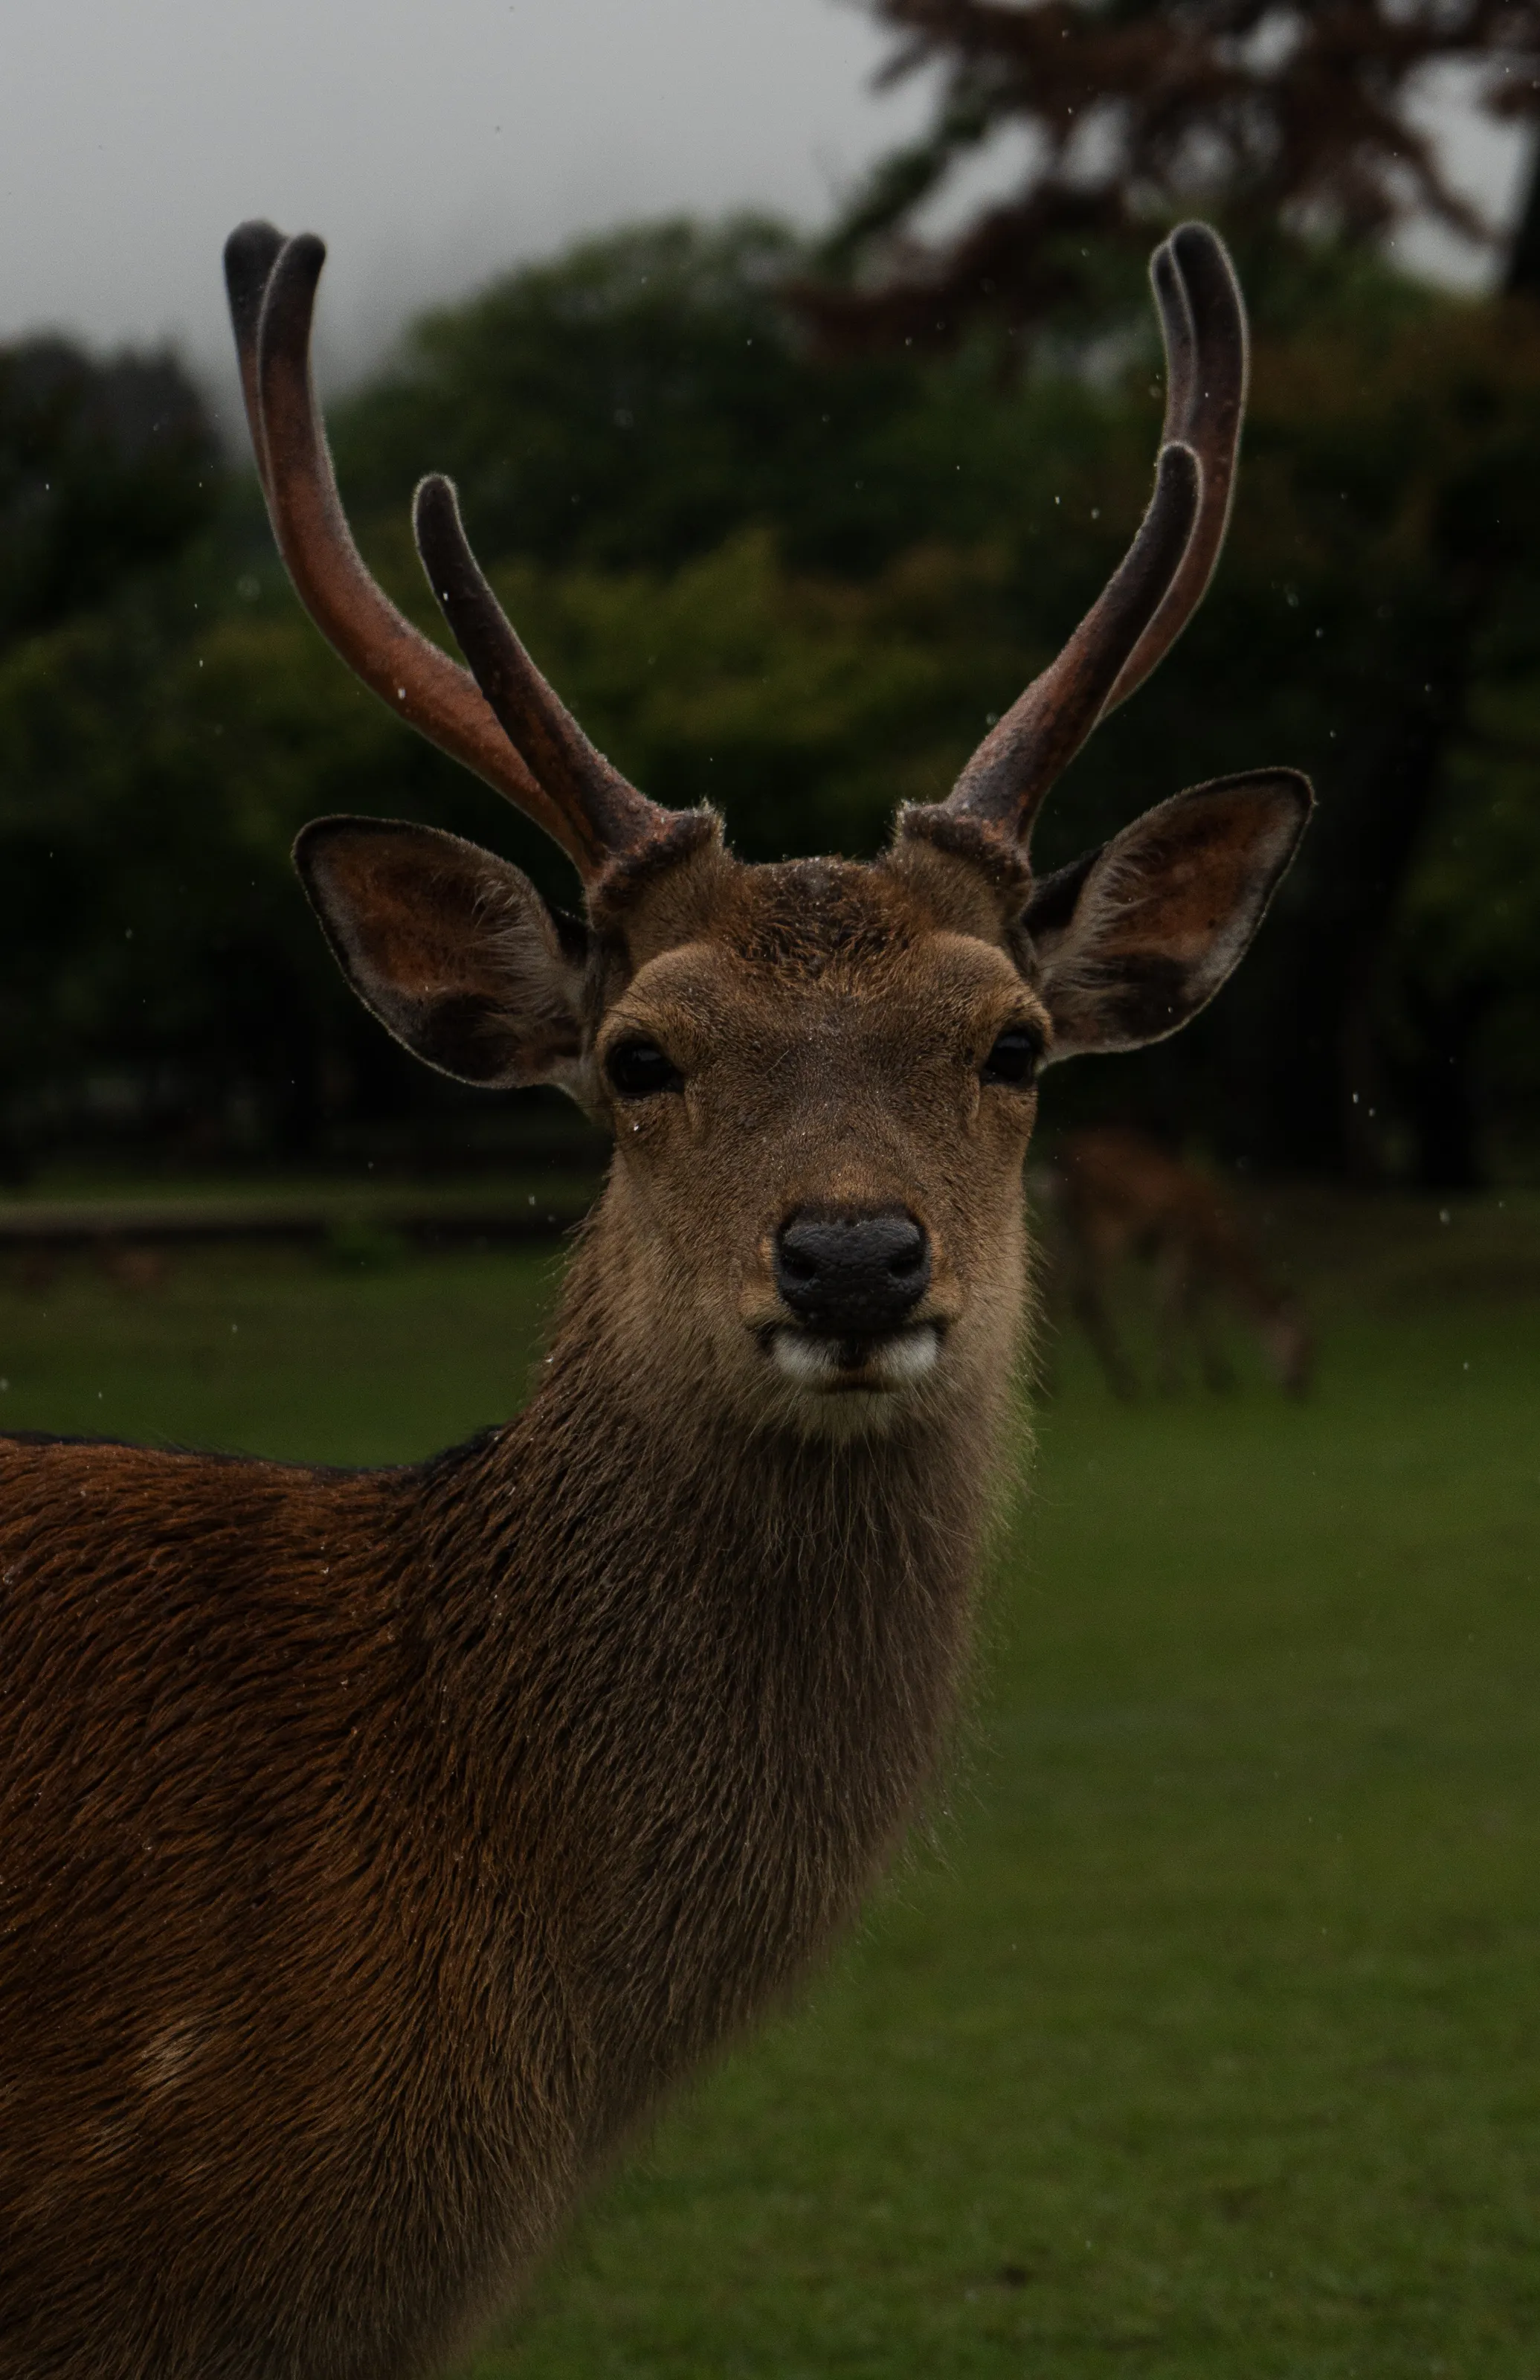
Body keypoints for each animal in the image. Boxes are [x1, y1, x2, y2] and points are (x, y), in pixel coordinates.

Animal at [1035, 1125, 1314, 1399]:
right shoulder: (1179, 1241)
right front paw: (1171, 1381)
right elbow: (1172, 1306)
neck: (1216, 1242)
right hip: (1106, 1227)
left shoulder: (1191, 1259)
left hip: (1061, 1227)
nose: (1301, 1385)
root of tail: (1057, 1161)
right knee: (1086, 1295)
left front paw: (1219, 1375)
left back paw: (1047, 1384)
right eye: (1305, 1346)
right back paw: (1125, 1382)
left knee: (1050, 1292)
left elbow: (1193, 1305)